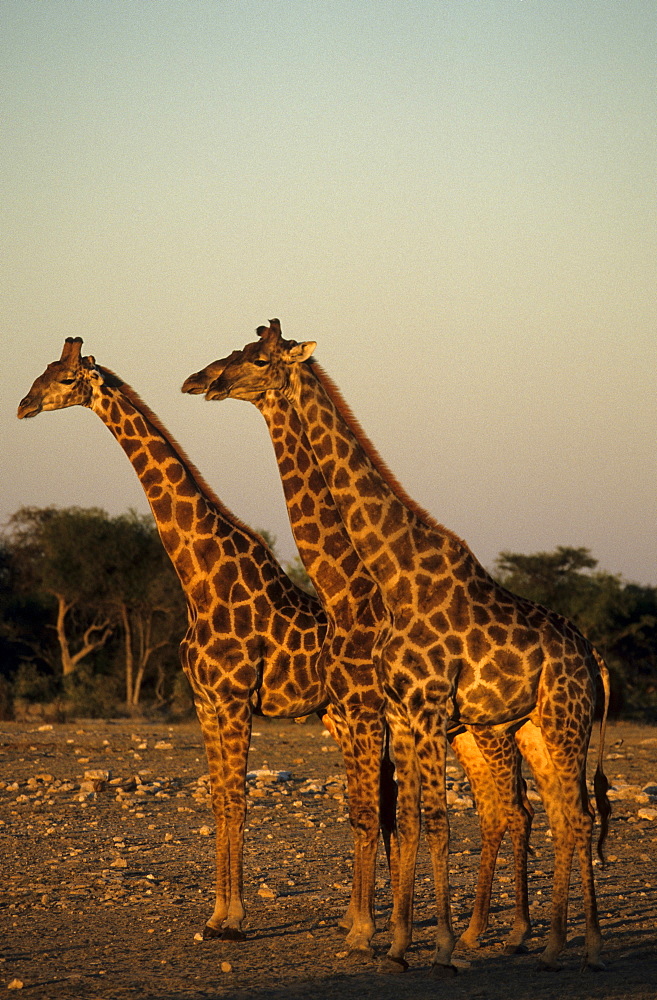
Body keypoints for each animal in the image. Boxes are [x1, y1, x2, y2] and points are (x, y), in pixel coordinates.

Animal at [16, 336, 384, 944]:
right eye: (44, 370)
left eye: (66, 379)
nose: (23, 405)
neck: (200, 575)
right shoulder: (204, 700)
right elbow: (217, 801)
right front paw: (215, 916)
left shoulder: (234, 699)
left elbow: (237, 799)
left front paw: (233, 921)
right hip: (338, 714)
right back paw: (362, 920)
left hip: (371, 712)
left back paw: (368, 926)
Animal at [199, 322, 608, 976]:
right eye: (237, 352)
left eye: (259, 360)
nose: (204, 380)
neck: (390, 574)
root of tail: (590, 657)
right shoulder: (401, 711)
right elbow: (411, 819)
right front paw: (395, 944)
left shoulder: (426, 706)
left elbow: (434, 821)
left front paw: (434, 945)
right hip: (534, 725)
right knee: (562, 814)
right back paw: (550, 943)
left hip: (563, 719)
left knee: (574, 813)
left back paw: (577, 945)